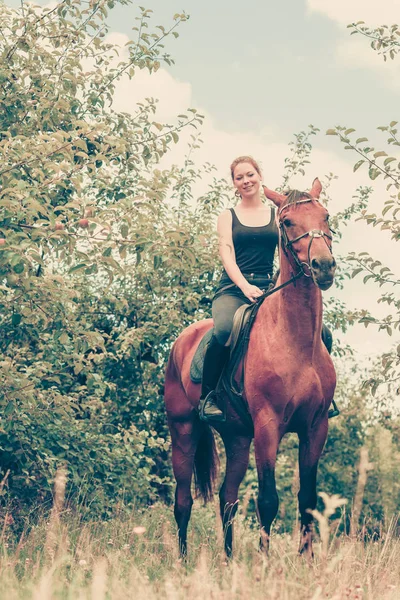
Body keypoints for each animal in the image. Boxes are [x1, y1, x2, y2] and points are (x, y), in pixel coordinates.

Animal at [164, 178, 336, 556]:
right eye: (287, 222)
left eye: (326, 215)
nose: (324, 266)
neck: (294, 339)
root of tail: (182, 340)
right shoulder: (268, 427)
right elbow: (268, 501)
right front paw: (263, 562)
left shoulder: (315, 427)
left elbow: (307, 500)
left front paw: (307, 561)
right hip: (183, 430)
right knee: (183, 501)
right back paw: (181, 562)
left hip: (238, 437)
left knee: (227, 499)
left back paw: (229, 562)